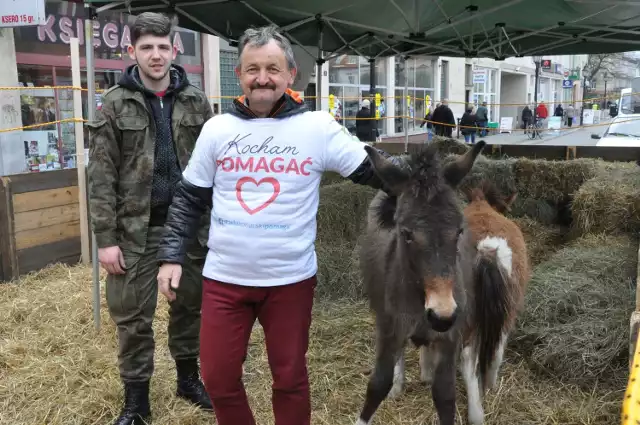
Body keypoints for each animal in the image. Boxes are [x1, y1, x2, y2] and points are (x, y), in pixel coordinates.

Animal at [356, 142, 528, 424]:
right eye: (405, 233)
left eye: (459, 230)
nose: (442, 313)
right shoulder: (390, 329)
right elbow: (377, 384)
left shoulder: (450, 336)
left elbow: (445, 394)